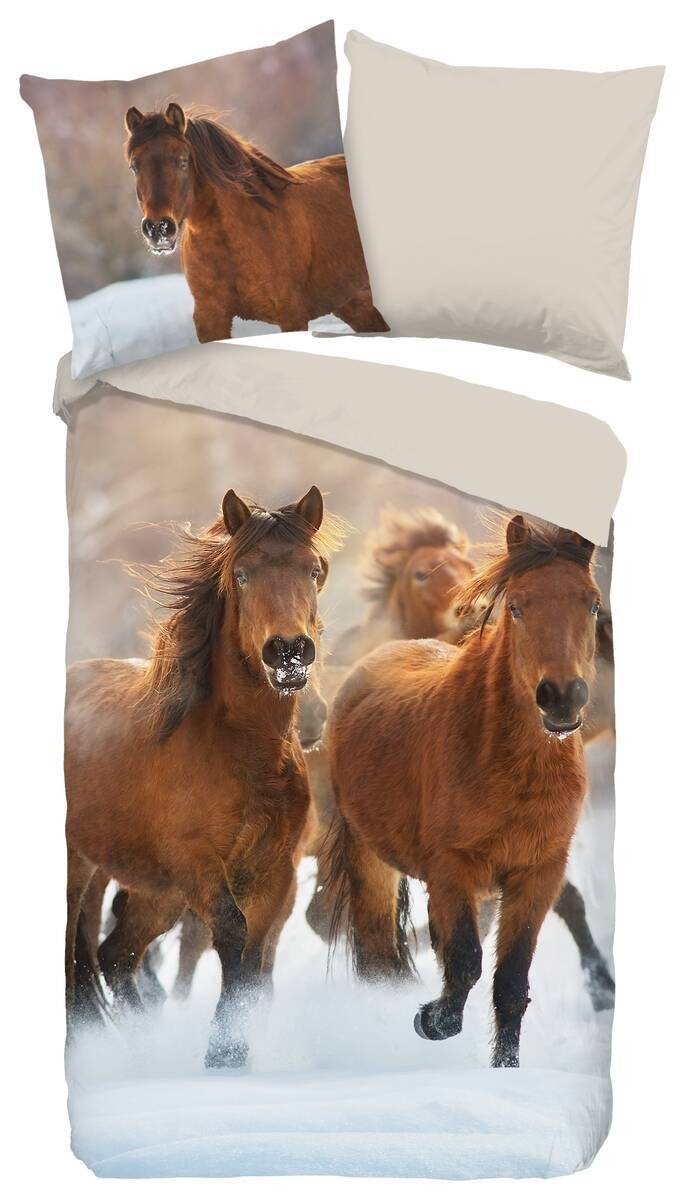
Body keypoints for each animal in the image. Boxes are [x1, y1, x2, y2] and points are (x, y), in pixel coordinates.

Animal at [65, 485, 342, 1068]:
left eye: (313, 569)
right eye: (242, 573)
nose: (288, 651)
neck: (243, 754)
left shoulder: (273, 869)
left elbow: (258, 952)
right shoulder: (200, 865)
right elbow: (234, 937)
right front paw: (225, 1054)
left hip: (157, 890)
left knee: (115, 955)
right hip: (83, 869)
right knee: (74, 955)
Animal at [124, 103, 388, 341]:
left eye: (182, 161)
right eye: (134, 166)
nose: (158, 228)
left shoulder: (291, 313)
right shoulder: (211, 319)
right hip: (355, 305)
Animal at [324, 515, 602, 1068]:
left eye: (592, 603)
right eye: (517, 606)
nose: (561, 697)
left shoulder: (537, 875)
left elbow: (510, 983)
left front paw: (504, 1069)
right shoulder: (452, 869)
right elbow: (466, 961)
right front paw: (430, 1020)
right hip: (370, 859)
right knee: (378, 957)